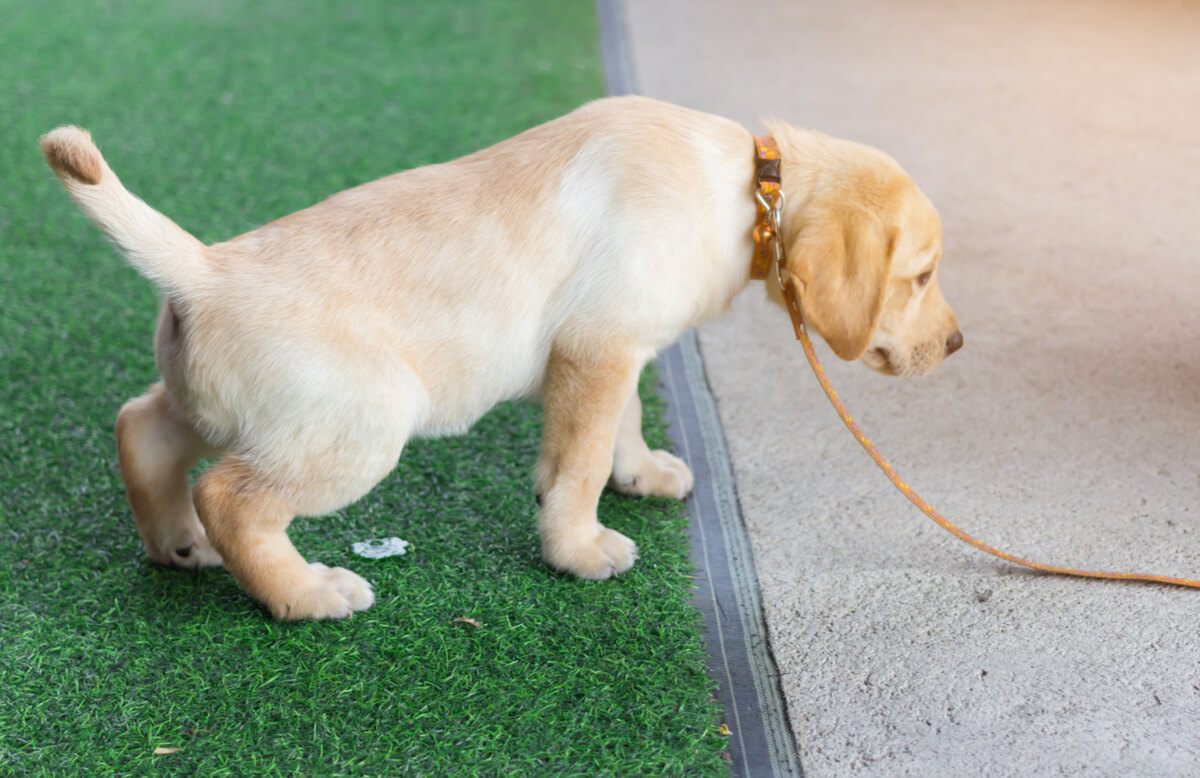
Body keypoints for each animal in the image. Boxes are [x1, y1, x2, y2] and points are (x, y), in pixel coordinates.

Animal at [42, 95, 960, 619]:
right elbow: (579, 461)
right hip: (357, 426)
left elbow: (620, 424)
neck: (750, 190)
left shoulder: (612, 348)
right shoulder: (599, 345)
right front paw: (578, 548)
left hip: (222, 404)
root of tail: (203, 269)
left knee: (142, 427)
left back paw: (176, 544)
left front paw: (639, 475)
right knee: (233, 498)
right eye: (921, 275)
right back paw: (306, 593)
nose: (956, 343)